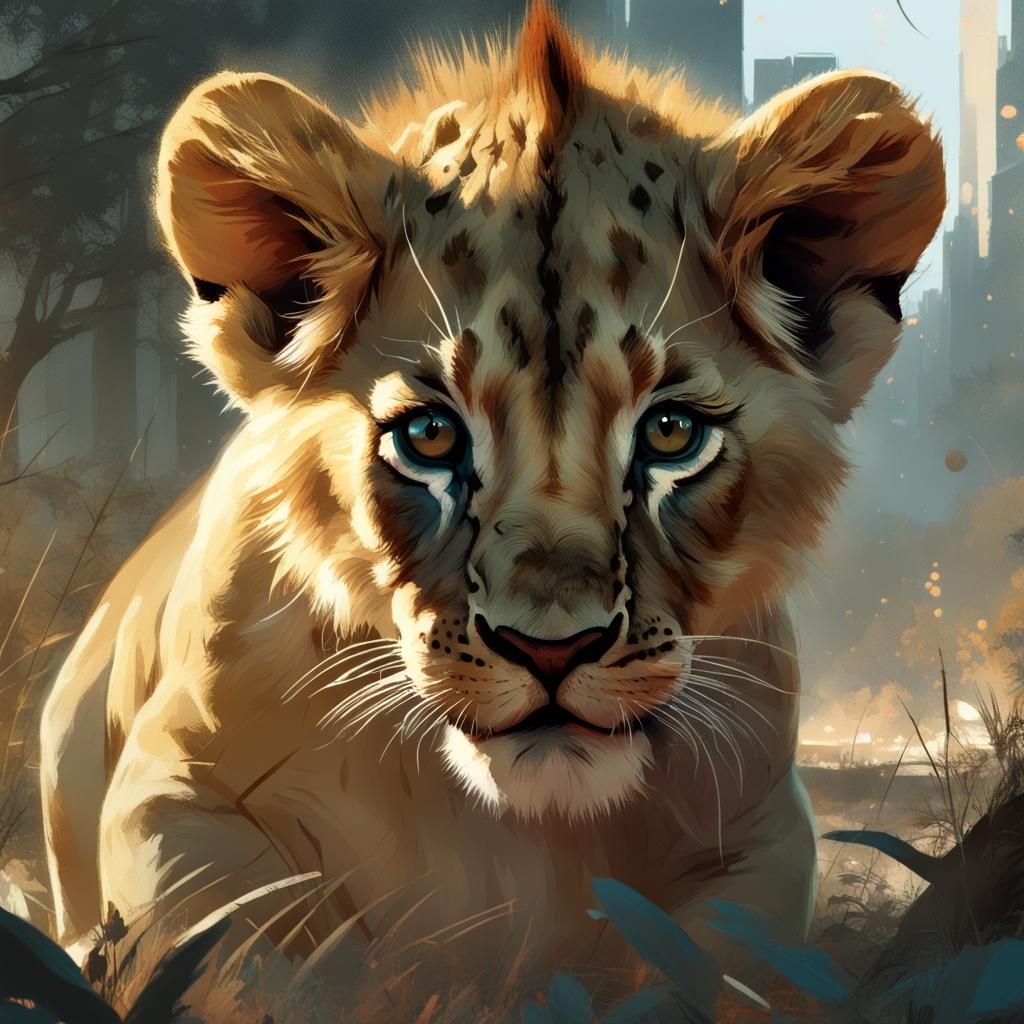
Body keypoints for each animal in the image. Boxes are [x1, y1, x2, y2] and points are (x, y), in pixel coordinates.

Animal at [40, 0, 944, 991]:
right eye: (429, 437)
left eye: (671, 434)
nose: (551, 650)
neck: (513, 835)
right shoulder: (171, 795)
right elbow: (252, 961)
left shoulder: (762, 836)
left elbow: (710, 969)